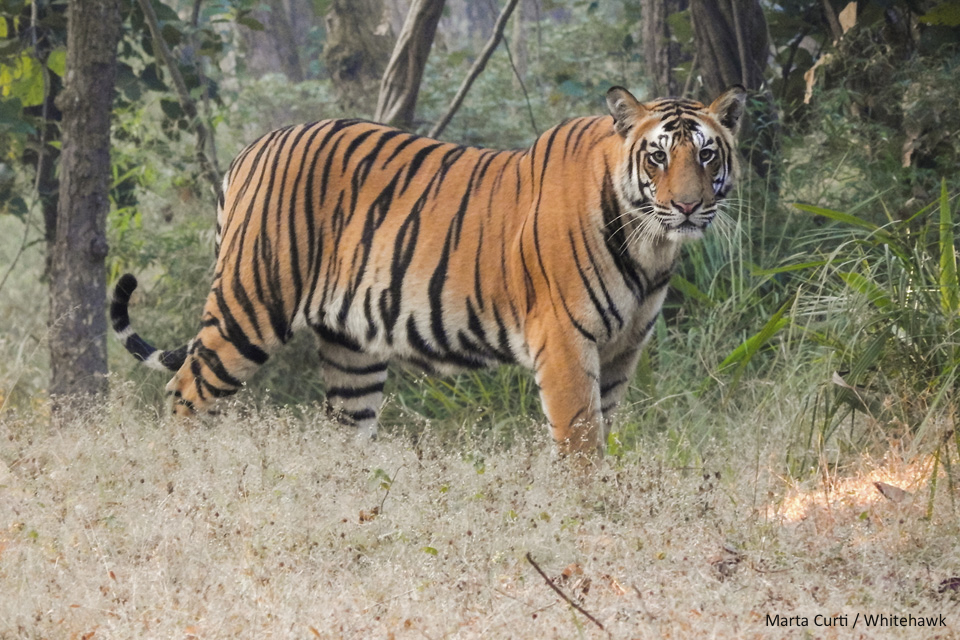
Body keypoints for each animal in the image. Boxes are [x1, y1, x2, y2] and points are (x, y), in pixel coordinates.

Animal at [109, 85, 748, 456]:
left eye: (706, 154)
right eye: (657, 156)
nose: (687, 206)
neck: (650, 247)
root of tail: (252, 148)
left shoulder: (621, 350)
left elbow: (602, 430)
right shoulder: (566, 343)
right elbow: (581, 441)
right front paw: (588, 511)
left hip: (352, 351)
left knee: (345, 431)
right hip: (251, 305)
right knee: (185, 392)